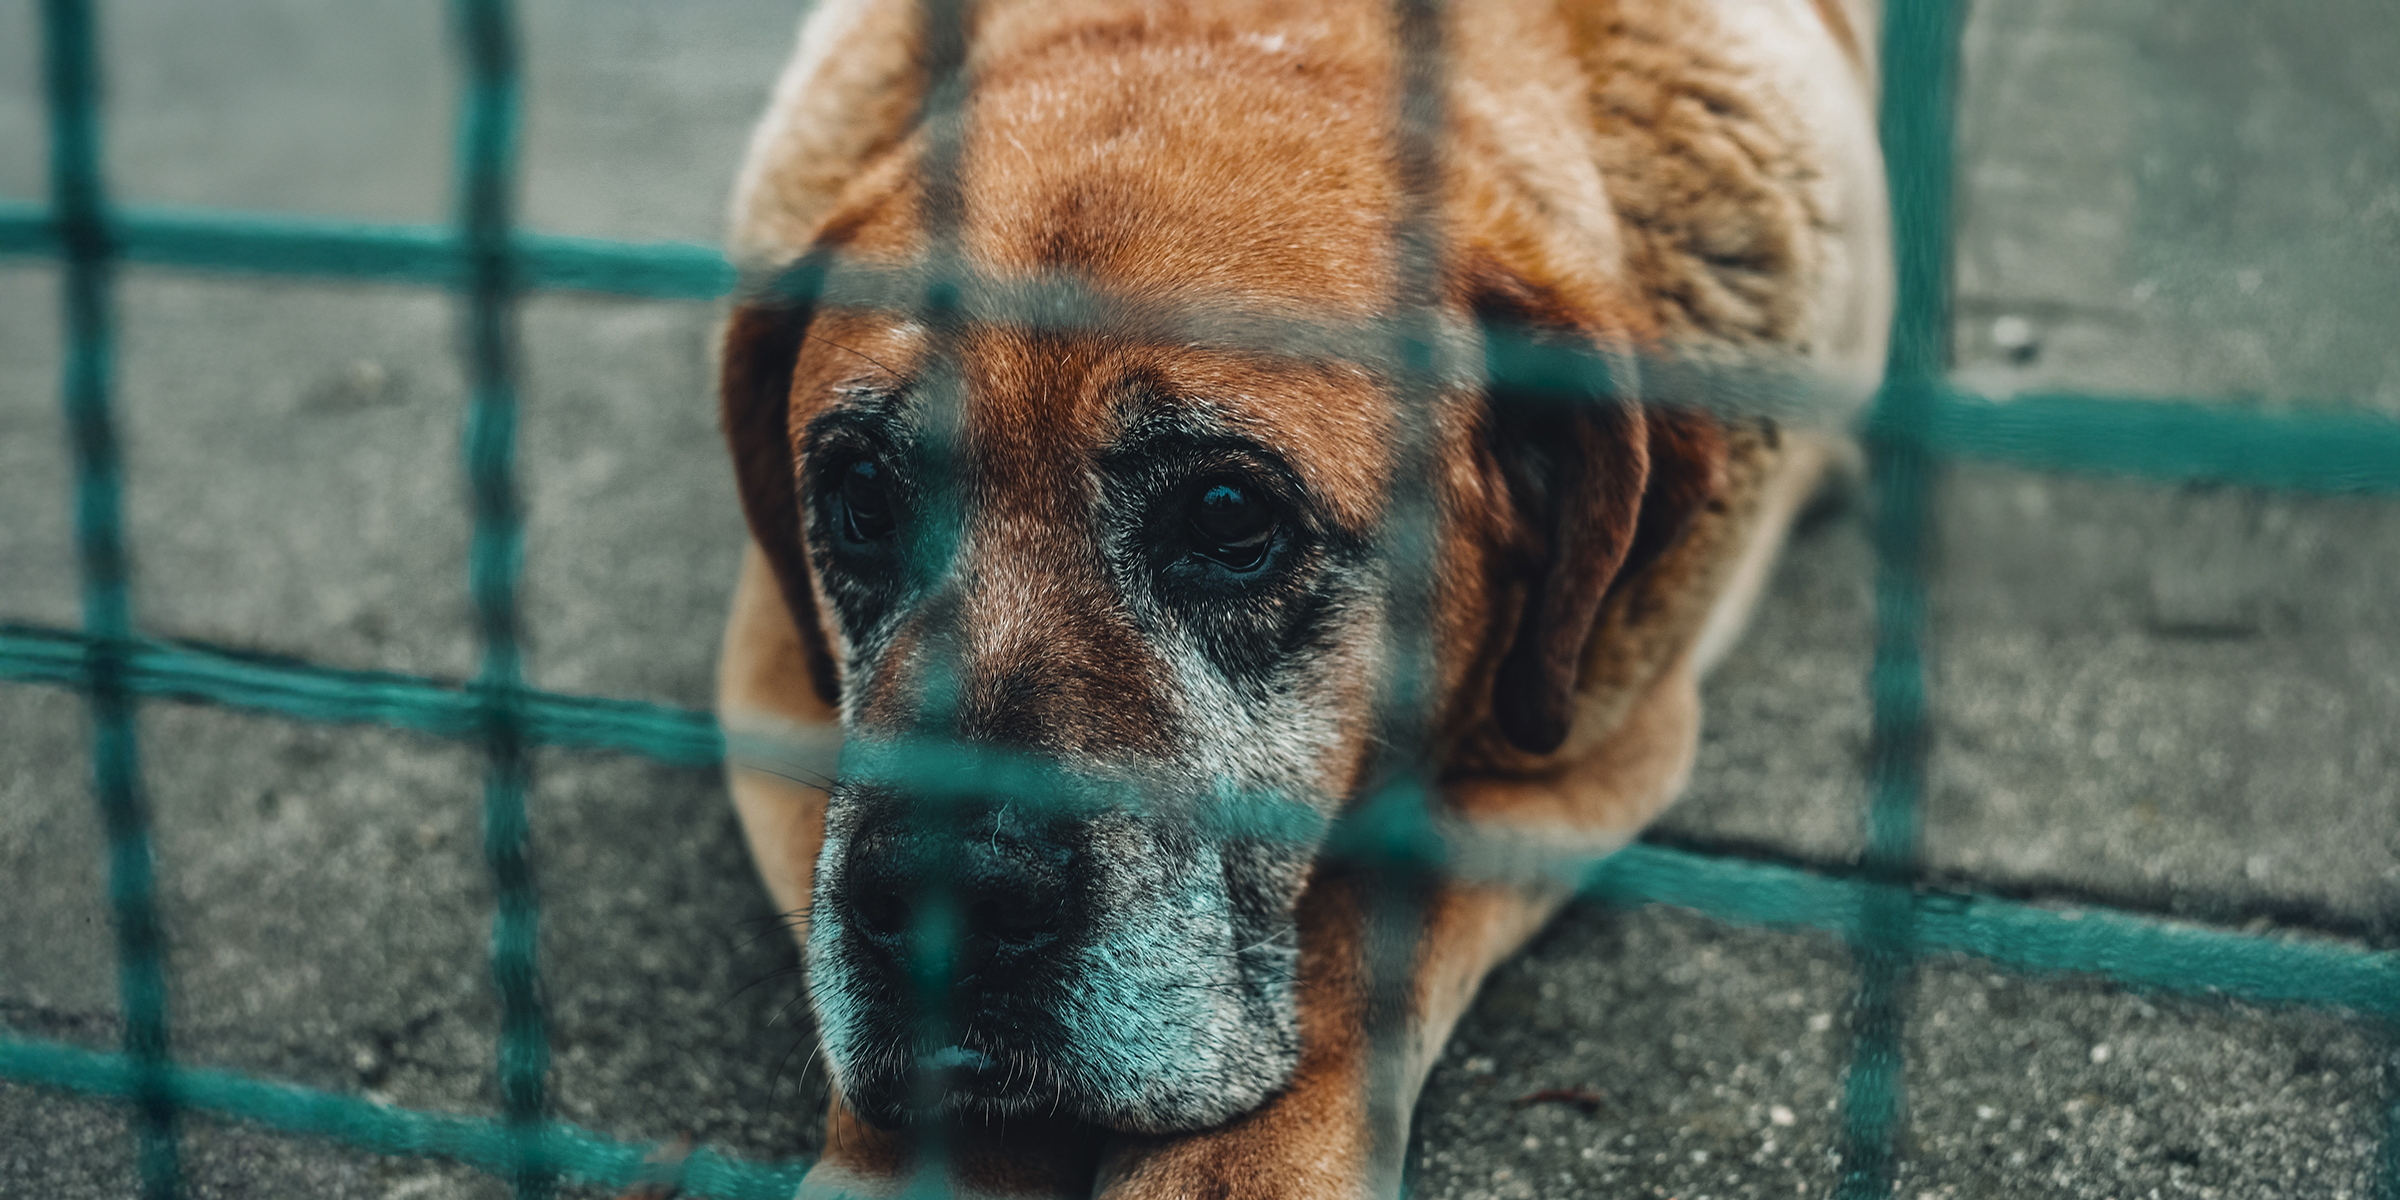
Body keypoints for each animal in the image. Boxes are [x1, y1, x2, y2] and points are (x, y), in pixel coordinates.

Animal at [710, 4, 1891, 1195]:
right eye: (862, 495)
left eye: (1229, 514)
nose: (939, 900)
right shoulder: (773, 668)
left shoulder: (1590, 738)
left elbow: (1367, 921)